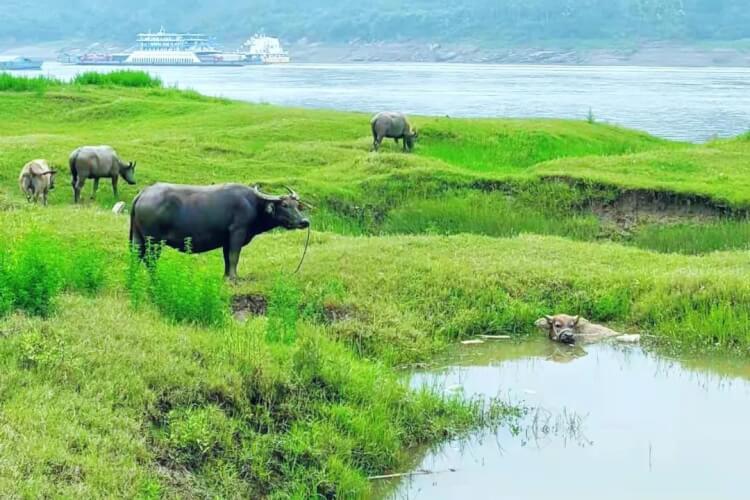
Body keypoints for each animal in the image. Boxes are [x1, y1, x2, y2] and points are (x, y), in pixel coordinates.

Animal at [132, 184, 312, 280]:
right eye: (285, 205)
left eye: (297, 205)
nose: (304, 222)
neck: (253, 205)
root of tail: (143, 194)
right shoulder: (237, 233)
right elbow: (234, 257)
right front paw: (234, 278)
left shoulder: (227, 240)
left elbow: (227, 258)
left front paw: (226, 277)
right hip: (154, 241)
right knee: (150, 260)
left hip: (137, 238)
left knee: (136, 257)